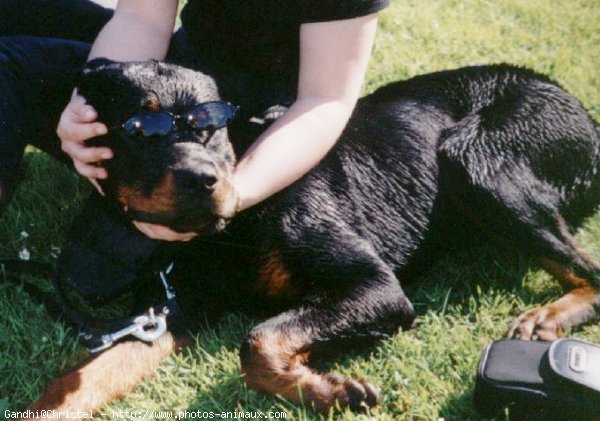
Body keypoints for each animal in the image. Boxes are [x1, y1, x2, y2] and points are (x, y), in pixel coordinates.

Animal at [28, 60, 600, 414]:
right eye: (137, 130)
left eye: (212, 127)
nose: (204, 180)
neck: (226, 232)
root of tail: (582, 111)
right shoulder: (175, 312)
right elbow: (82, 378)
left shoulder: (377, 288)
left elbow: (257, 340)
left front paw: (331, 392)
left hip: (478, 156)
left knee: (589, 271)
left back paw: (551, 317)